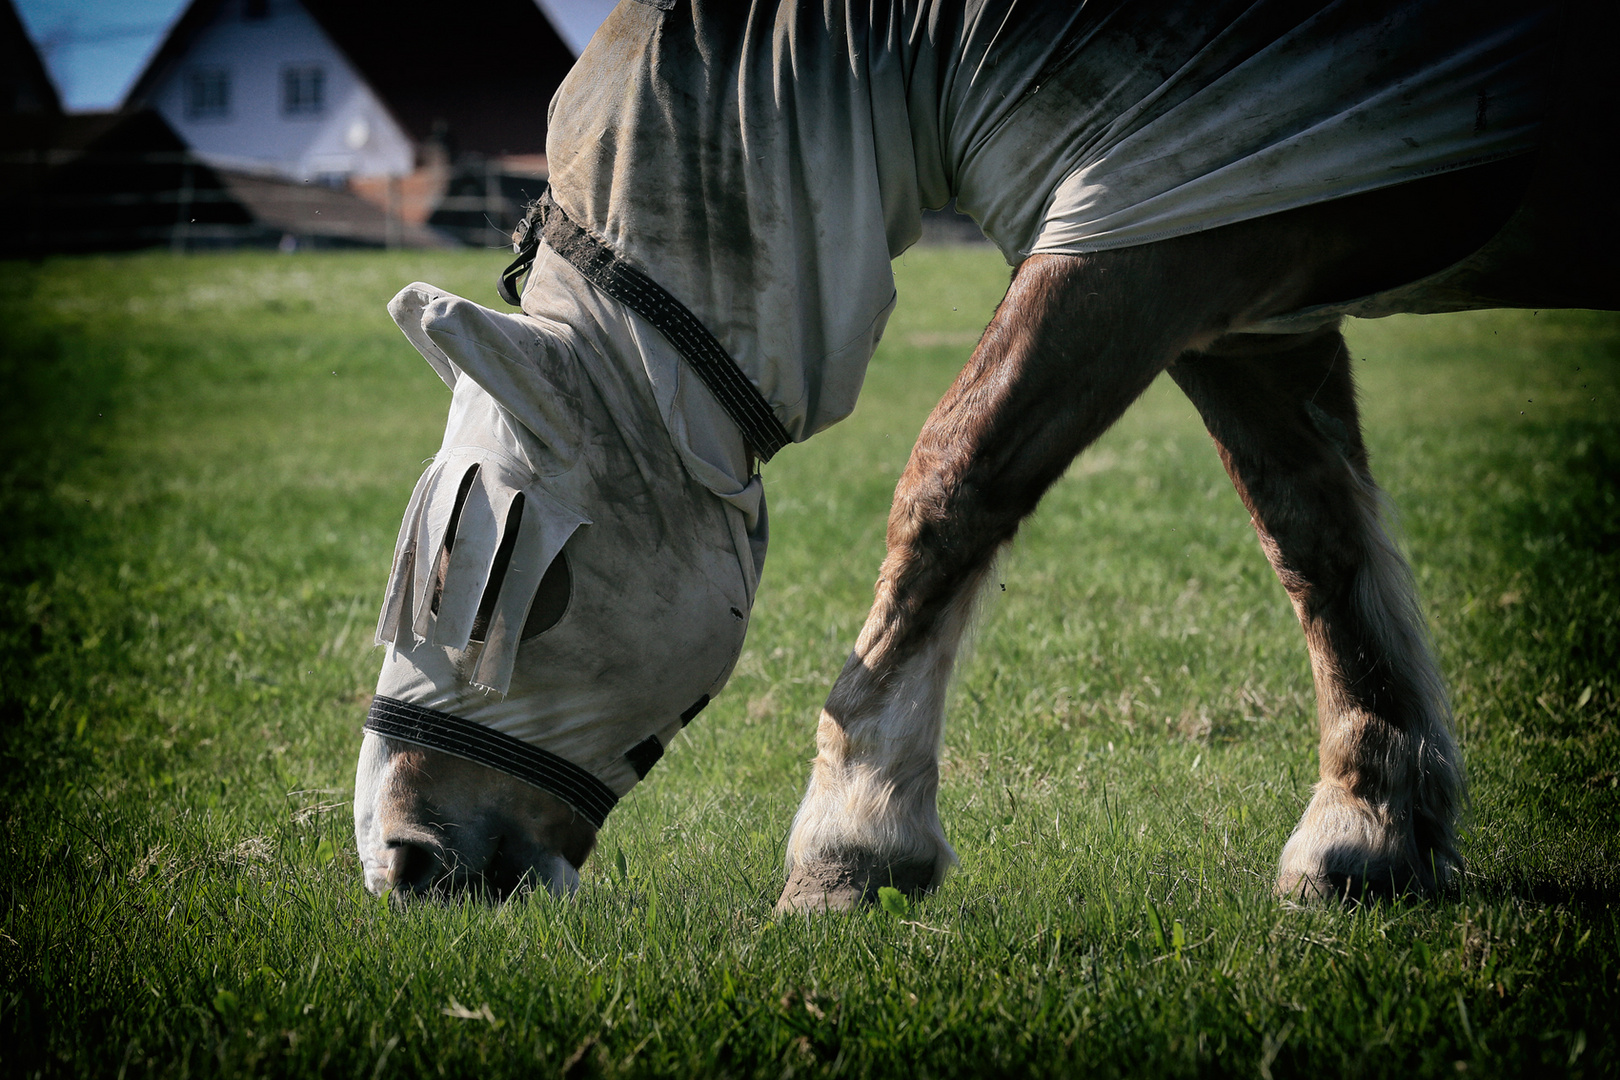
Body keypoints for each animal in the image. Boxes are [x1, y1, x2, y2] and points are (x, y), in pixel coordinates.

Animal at [351, 0, 1607, 906]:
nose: (401, 859)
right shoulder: (1243, 296)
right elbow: (1317, 541)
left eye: (504, 584)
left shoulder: (1145, 242)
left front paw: (856, 837)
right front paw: (1369, 829)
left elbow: (952, 483)